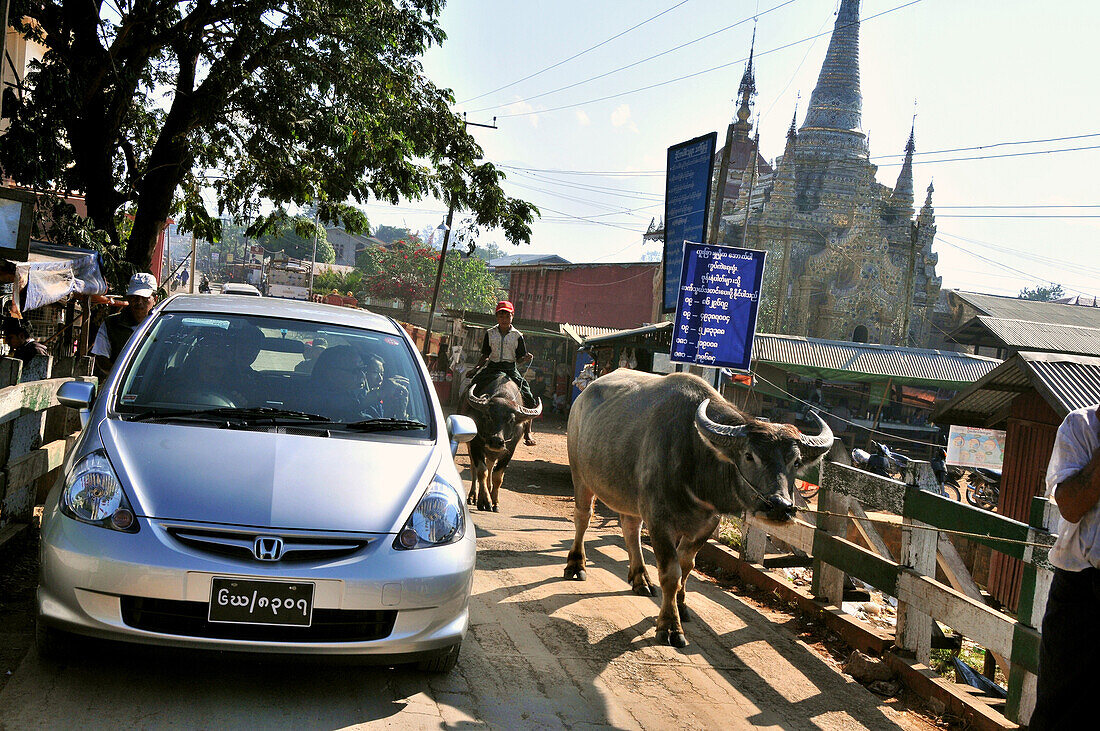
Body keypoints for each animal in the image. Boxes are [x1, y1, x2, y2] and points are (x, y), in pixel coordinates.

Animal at [459, 373, 541, 510]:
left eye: (511, 420)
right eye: (488, 416)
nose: (496, 441)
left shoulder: (510, 450)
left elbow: (498, 476)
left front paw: (495, 501)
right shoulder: (476, 445)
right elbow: (482, 471)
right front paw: (485, 501)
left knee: (490, 465)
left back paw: (489, 488)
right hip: (470, 445)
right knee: (474, 468)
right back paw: (473, 496)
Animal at [567, 371, 831, 646]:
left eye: (796, 461)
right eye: (749, 456)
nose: (780, 506)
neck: (695, 456)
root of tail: (584, 395)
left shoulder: (708, 523)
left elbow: (686, 567)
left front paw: (682, 607)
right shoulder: (659, 520)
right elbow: (671, 573)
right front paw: (670, 626)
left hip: (629, 494)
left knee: (631, 528)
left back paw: (640, 579)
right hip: (580, 474)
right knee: (583, 517)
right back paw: (576, 565)